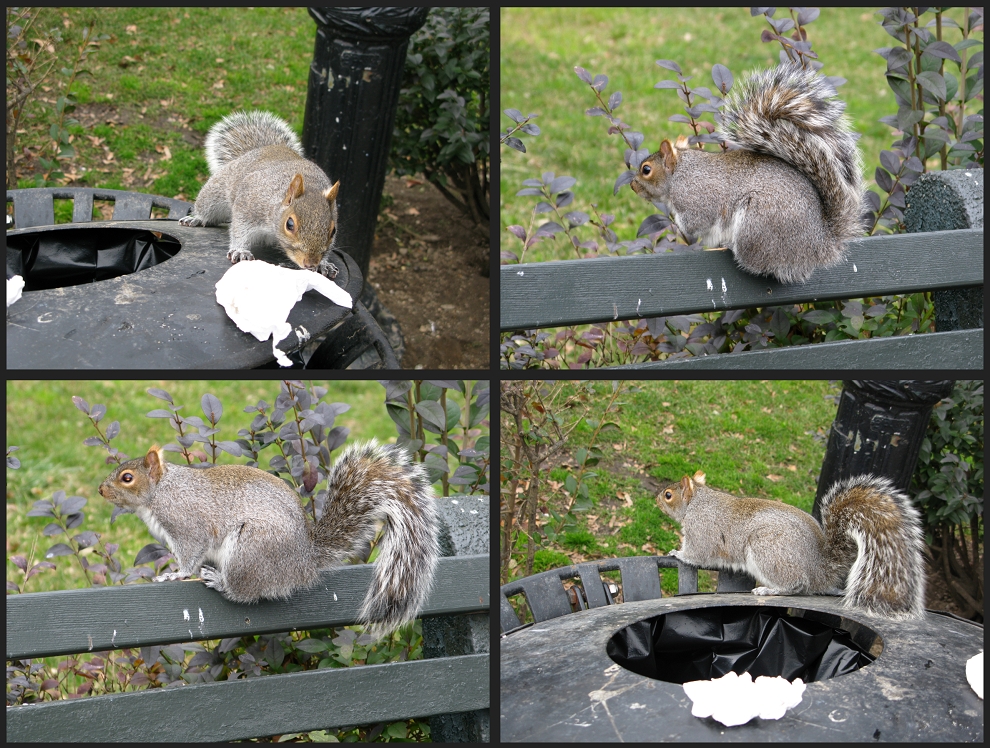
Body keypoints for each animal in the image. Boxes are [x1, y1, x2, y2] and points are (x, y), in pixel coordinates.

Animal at [100, 438, 438, 636]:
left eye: (127, 478)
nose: (101, 490)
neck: (160, 491)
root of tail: (305, 562)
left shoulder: (187, 525)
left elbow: (190, 555)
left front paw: (175, 574)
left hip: (251, 550)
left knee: (245, 591)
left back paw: (220, 581)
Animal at [180, 112, 342, 282]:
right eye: (289, 224)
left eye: (333, 231)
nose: (310, 263)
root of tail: (263, 148)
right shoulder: (249, 205)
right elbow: (239, 228)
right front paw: (240, 251)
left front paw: (323, 264)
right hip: (215, 193)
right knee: (207, 208)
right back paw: (196, 219)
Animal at [632, 60, 864, 284]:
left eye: (646, 170)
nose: (633, 186)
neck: (679, 173)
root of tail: (821, 246)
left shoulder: (696, 198)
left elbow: (695, 221)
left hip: (756, 226)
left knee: (760, 263)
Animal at [660, 470, 928, 624]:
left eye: (668, 495)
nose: (655, 498)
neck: (698, 501)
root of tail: (819, 568)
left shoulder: (701, 531)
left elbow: (696, 554)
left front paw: (677, 553)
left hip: (767, 549)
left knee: (796, 584)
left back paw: (768, 590)